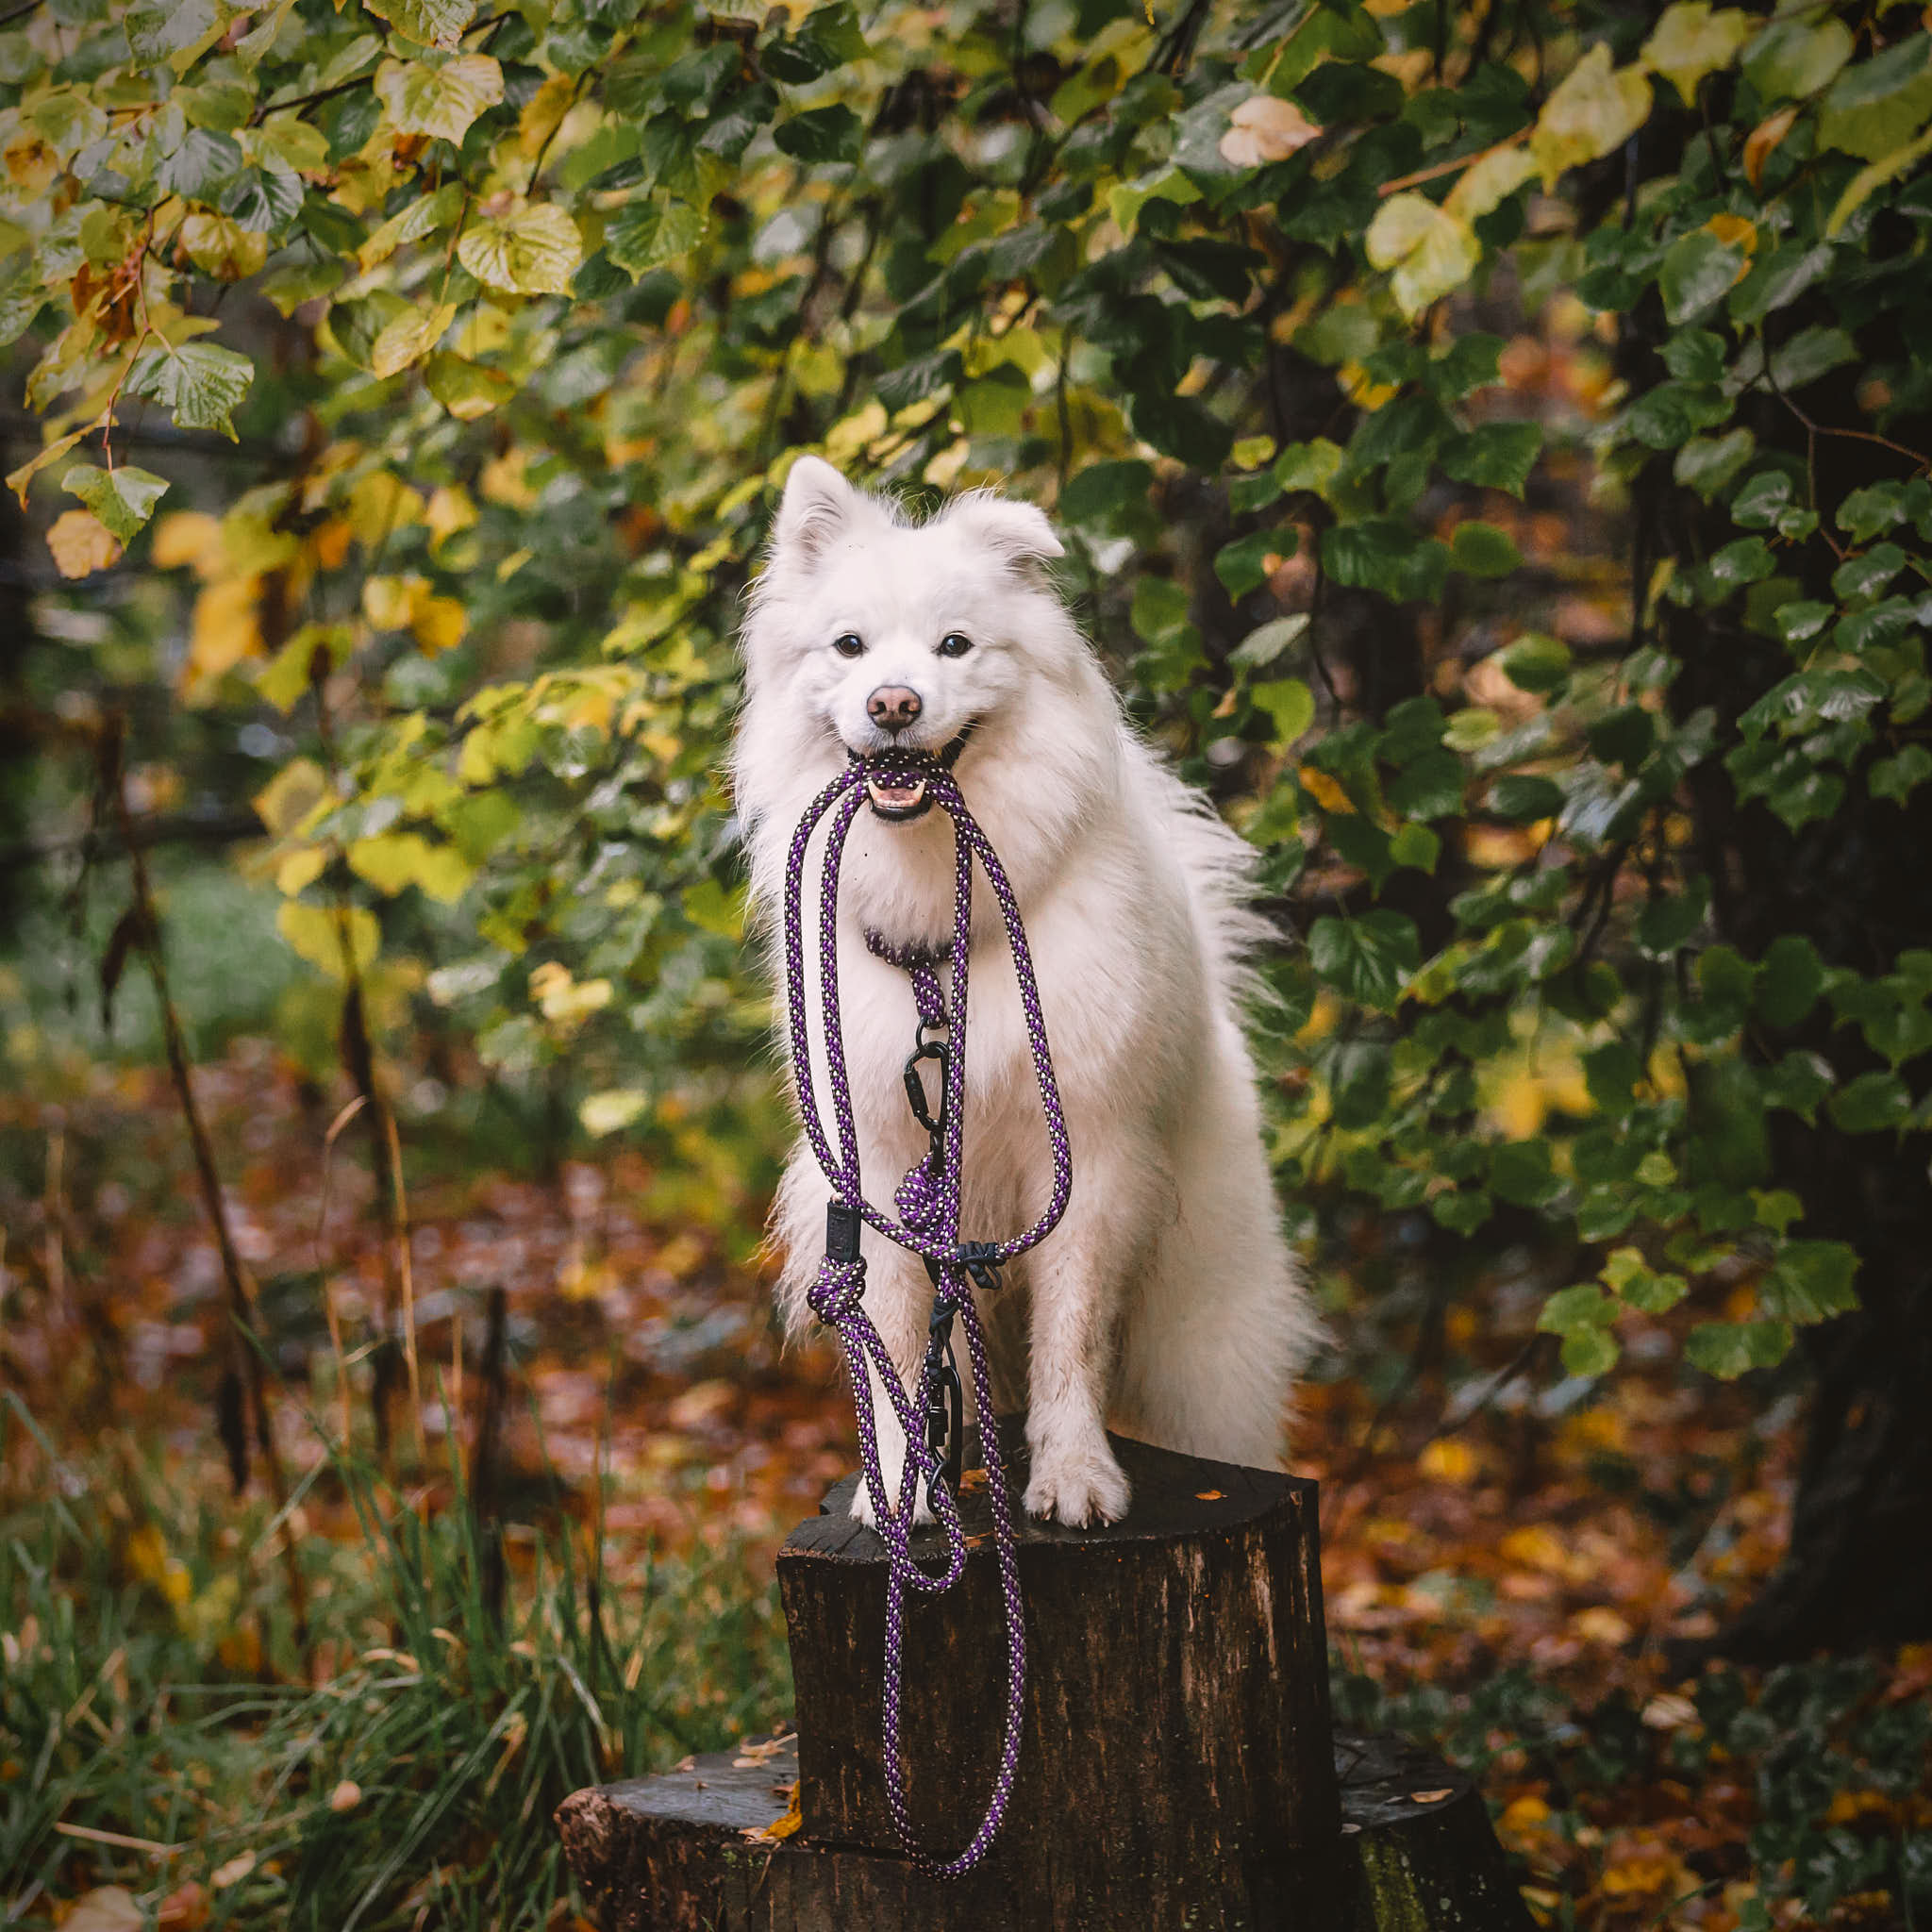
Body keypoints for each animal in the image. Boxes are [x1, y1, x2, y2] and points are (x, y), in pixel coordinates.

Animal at [730, 459, 1321, 1530]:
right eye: (849, 646)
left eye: (955, 646)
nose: (892, 702)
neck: (943, 932)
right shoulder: (883, 1165)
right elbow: (895, 1339)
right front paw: (903, 1486)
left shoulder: (1085, 1157)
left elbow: (1071, 1338)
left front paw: (1075, 1475)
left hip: (1200, 1352)